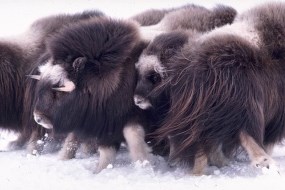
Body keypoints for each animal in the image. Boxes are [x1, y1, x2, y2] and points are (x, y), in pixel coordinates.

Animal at [31, 17, 150, 172]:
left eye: (57, 92)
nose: (38, 118)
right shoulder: (102, 123)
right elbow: (103, 150)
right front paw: (98, 170)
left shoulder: (128, 117)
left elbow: (134, 138)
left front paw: (144, 166)